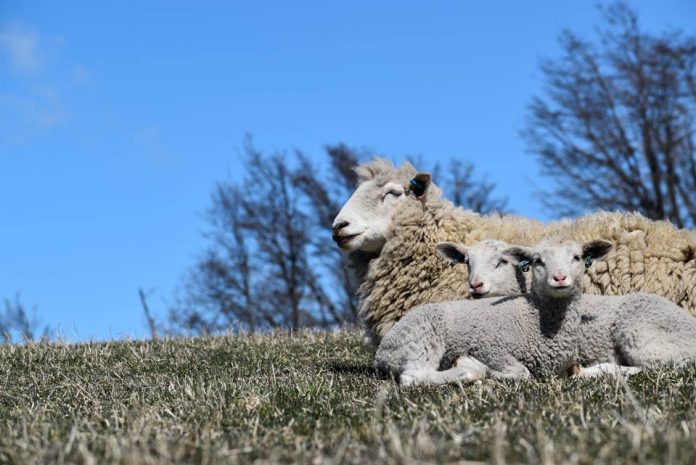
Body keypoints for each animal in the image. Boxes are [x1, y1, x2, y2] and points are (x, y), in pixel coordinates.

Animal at [376, 237, 696, 386]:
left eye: (577, 257)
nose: (560, 278)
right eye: (538, 261)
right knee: (413, 376)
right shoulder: (493, 346)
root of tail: (382, 351)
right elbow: (519, 373)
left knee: (659, 366)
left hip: (640, 334)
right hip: (423, 339)